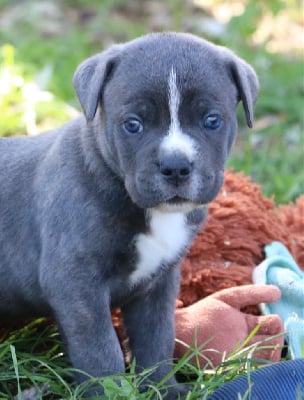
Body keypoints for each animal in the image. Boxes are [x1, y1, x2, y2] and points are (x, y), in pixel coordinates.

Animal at [0, 32, 258, 398]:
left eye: (212, 120)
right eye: (132, 124)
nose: (175, 166)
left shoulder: (157, 285)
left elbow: (156, 339)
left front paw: (162, 387)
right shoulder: (77, 285)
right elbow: (100, 351)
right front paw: (112, 391)